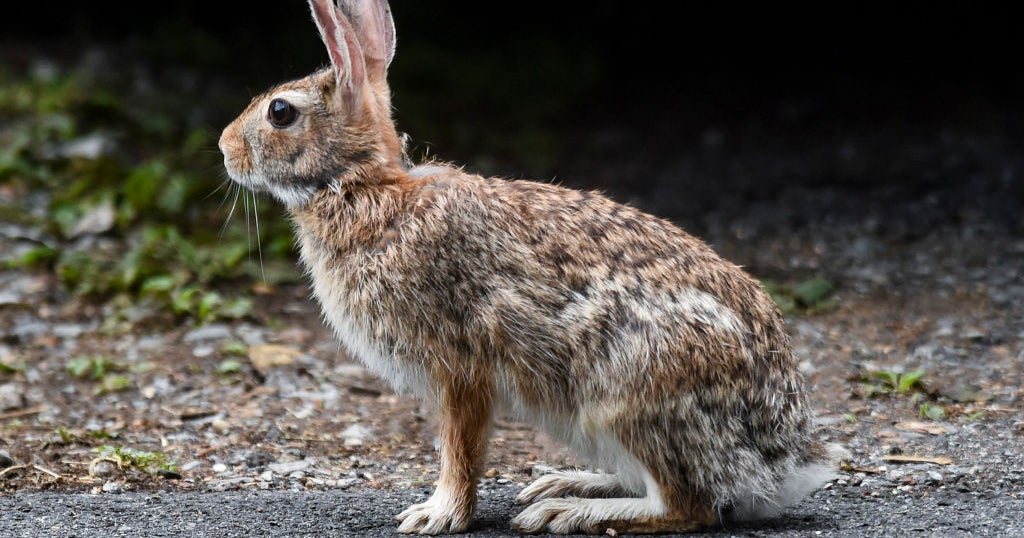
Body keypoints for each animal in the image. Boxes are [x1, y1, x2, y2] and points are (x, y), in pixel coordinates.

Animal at [218, 0, 841, 534]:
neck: (363, 188)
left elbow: (461, 448)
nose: (225, 148)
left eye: (280, 112)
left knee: (689, 506)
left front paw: (438, 515)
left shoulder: (460, 365)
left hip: (630, 392)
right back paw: (566, 485)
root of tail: (781, 463)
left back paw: (568, 512)